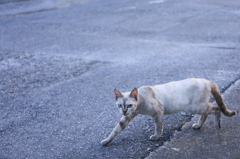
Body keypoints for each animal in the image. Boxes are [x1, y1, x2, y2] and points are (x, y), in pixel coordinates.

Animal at [101, 78, 236, 145]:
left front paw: (156, 137)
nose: (124, 111)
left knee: (216, 109)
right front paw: (106, 141)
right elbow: (115, 130)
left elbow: (158, 127)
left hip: (196, 106)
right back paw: (198, 126)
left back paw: (217, 126)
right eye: (120, 105)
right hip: (197, 107)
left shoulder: (158, 112)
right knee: (206, 114)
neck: (139, 106)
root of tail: (207, 80)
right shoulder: (127, 118)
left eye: (129, 105)